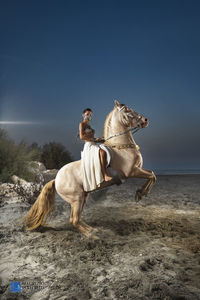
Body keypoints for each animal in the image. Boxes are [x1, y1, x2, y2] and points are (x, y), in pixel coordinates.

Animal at [23, 101, 157, 239]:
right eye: (127, 110)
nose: (145, 120)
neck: (120, 147)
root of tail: (56, 179)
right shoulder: (132, 171)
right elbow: (153, 176)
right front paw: (141, 194)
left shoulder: (137, 169)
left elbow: (152, 174)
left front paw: (141, 193)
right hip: (76, 199)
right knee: (74, 220)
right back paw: (91, 235)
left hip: (84, 197)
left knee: (77, 218)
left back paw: (93, 230)